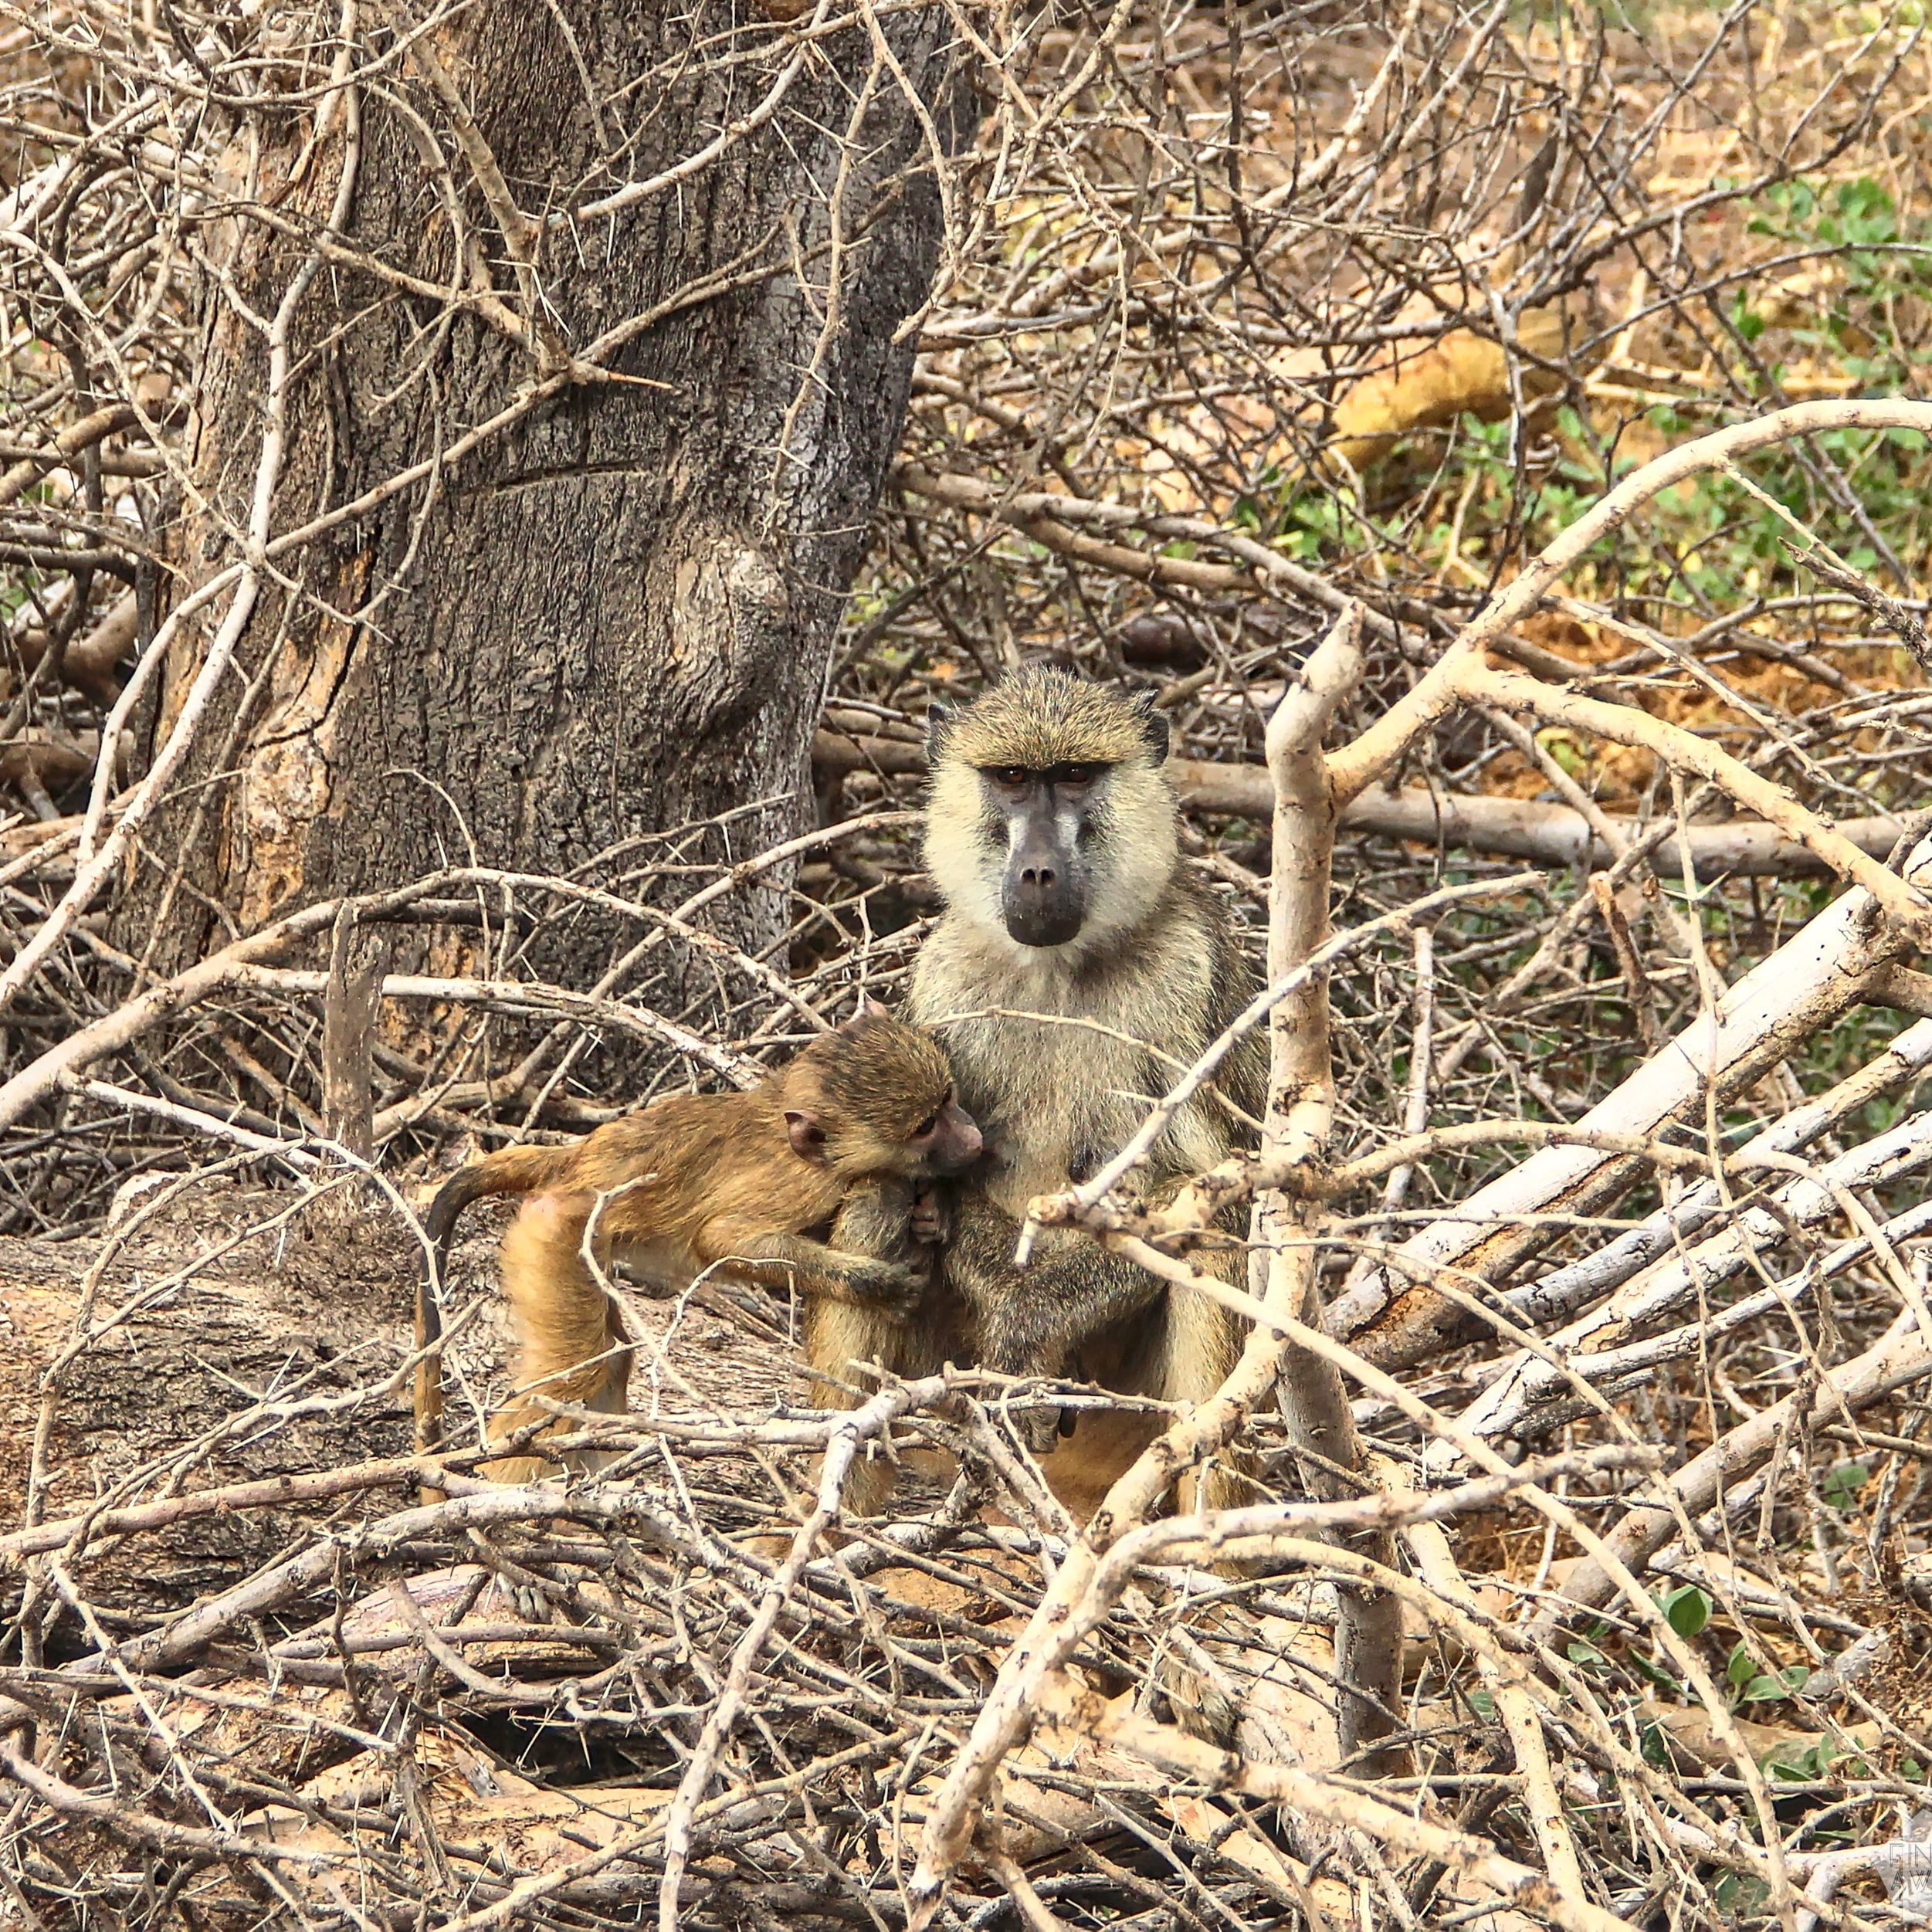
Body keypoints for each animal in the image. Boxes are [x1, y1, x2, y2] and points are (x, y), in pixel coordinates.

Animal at [414, 1005, 982, 1484]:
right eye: (925, 1127)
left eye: (948, 1098)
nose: (975, 1141)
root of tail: (576, 1158)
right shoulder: (805, 1184)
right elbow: (722, 1238)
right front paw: (878, 1284)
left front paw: (932, 1217)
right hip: (555, 1233)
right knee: (575, 1372)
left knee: (610, 1359)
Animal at [822, 666, 1266, 1523]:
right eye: (1011, 780)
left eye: (1076, 776)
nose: (1037, 873)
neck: (1058, 971)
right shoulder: (945, 982)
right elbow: (923, 1174)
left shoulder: (1190, 981)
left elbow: (1206, 1184)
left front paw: (1032, 1319)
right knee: (876, 1197)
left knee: (1213, 1243)